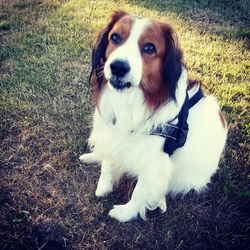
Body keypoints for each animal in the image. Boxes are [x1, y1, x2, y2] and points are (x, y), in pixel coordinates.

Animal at [79, 10, 228, 223]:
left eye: (149, 48)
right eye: (115, 38)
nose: (118, 67)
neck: (131, 100)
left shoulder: (154, 162)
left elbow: (140, 191)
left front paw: (126, 213)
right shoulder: (113, 133)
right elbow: (108, 161)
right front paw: (104, 186)